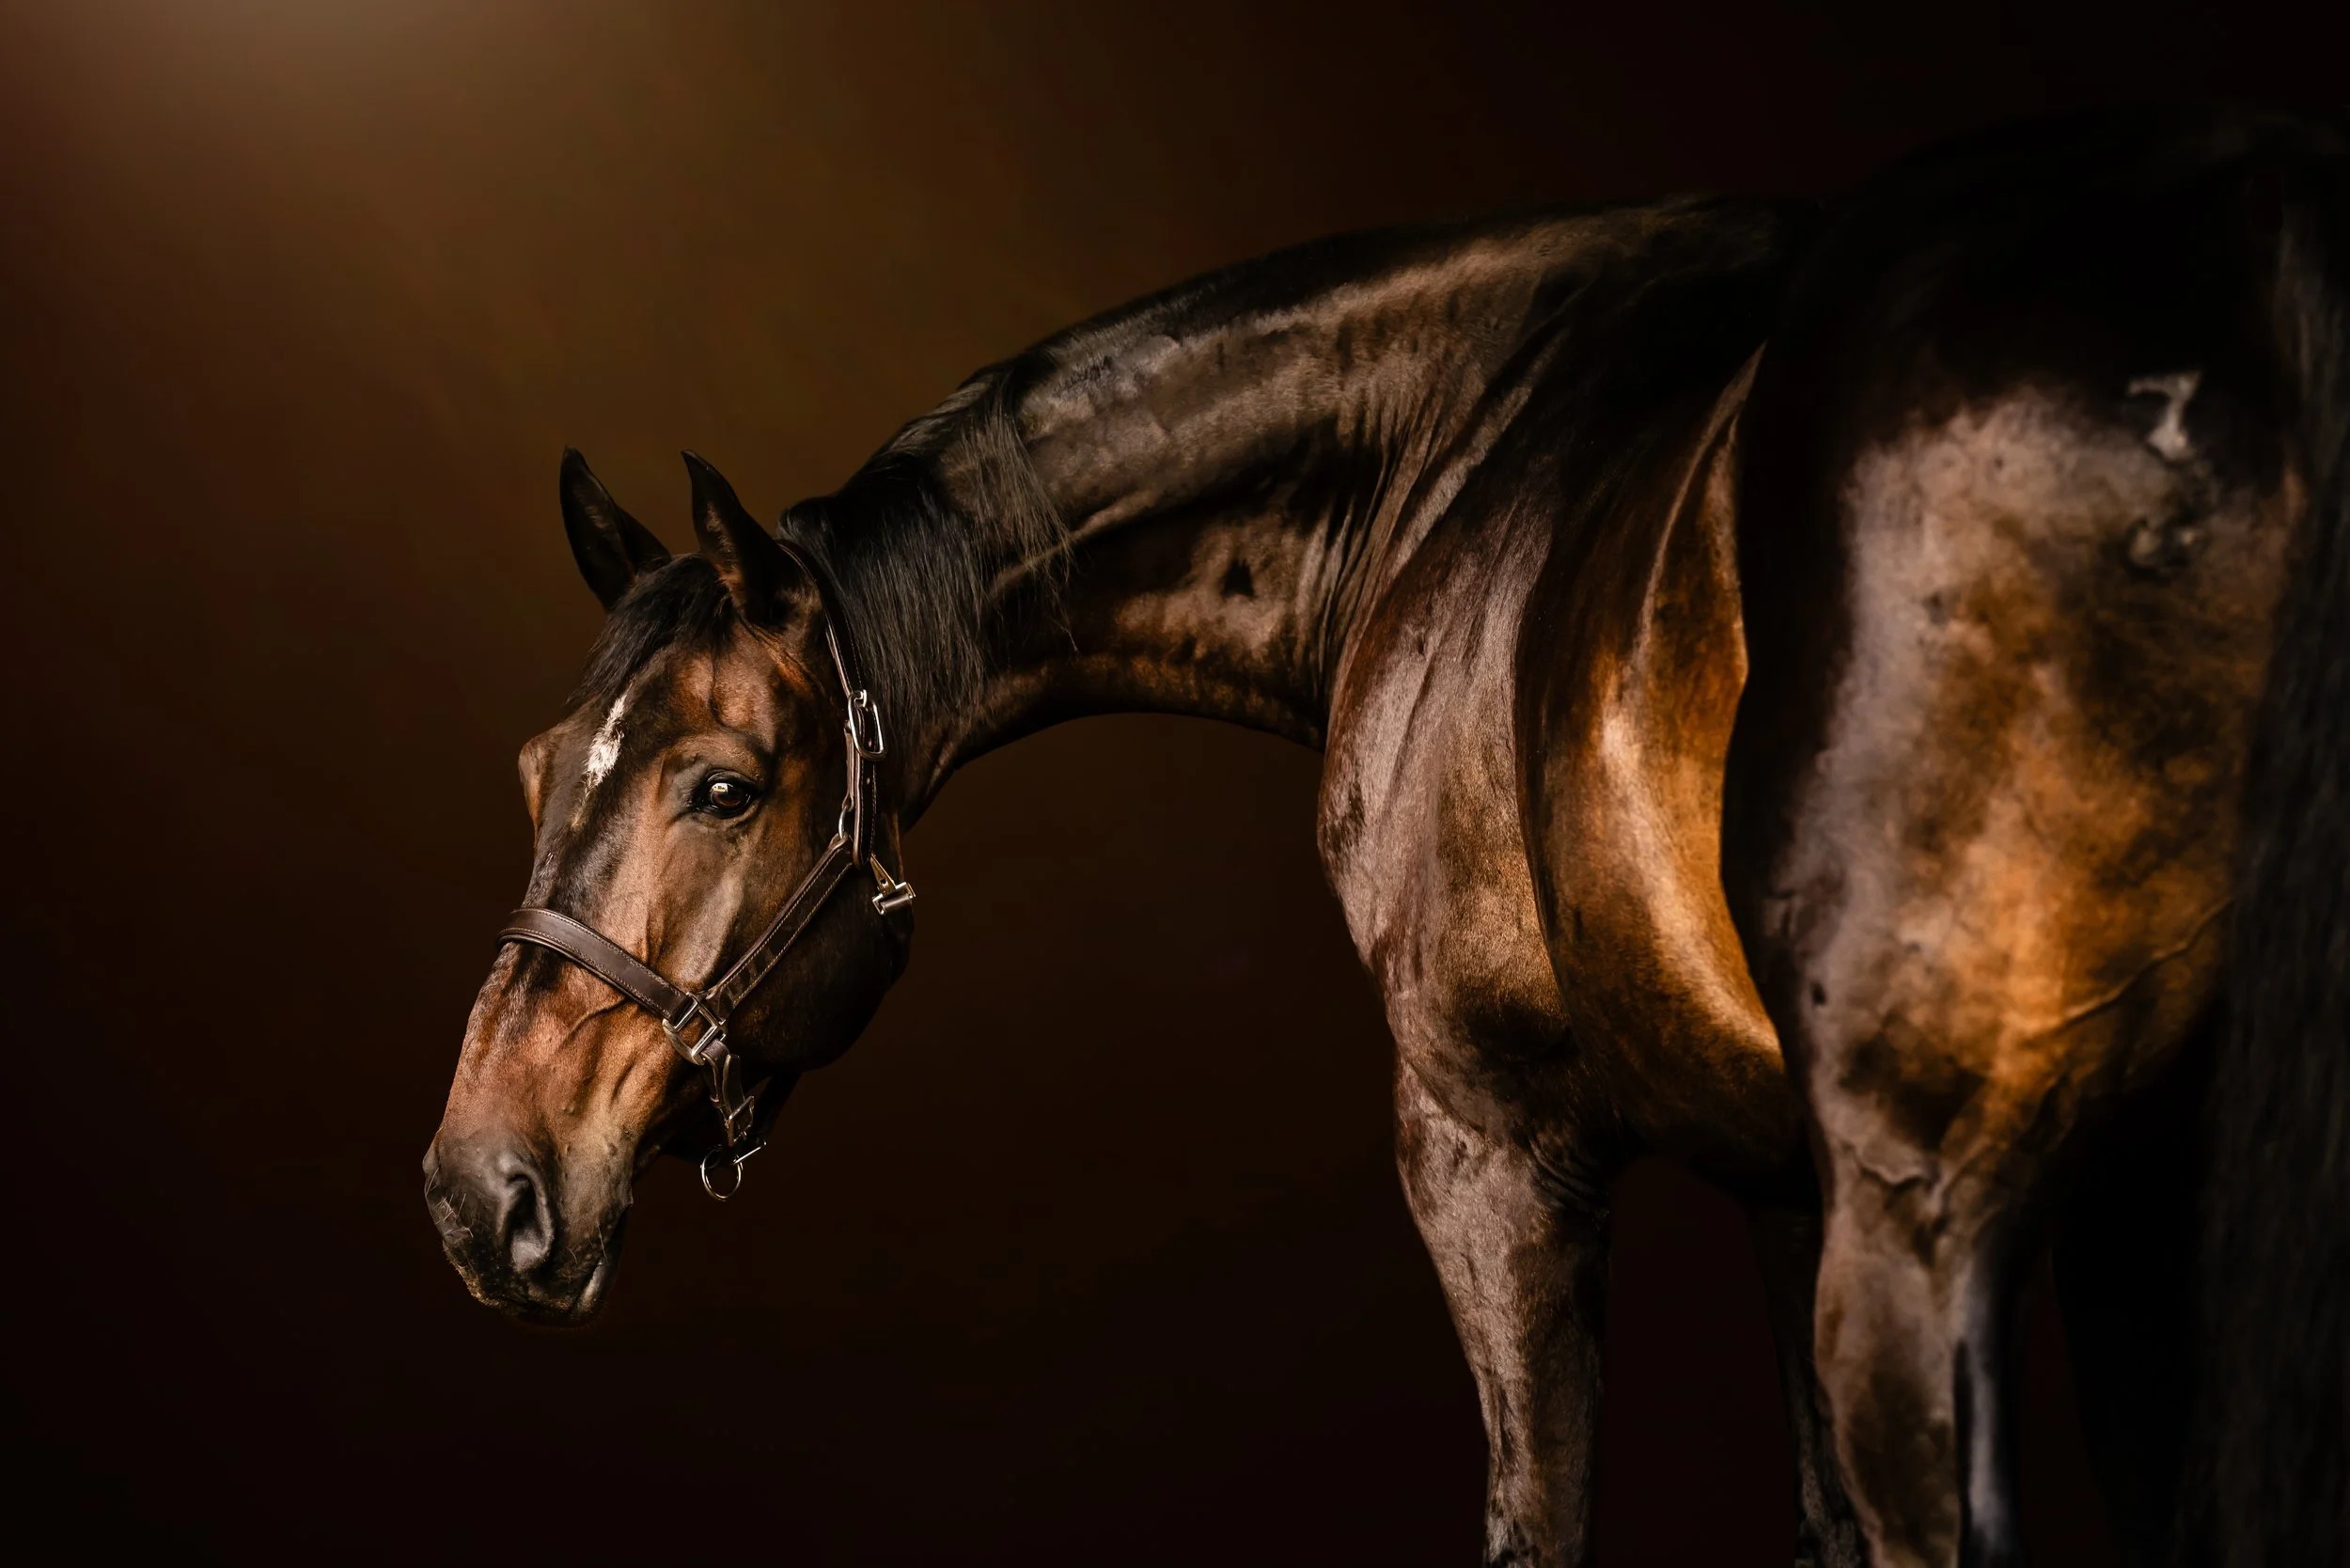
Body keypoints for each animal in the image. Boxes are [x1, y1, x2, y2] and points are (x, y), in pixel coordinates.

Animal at [425, 109, 2348, 1567]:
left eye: (723, 784)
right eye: (534, 768)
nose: (478, 1188)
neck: (1458, 443)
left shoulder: (1494, 1146)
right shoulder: (1784, 1177)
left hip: (1932, 1210)